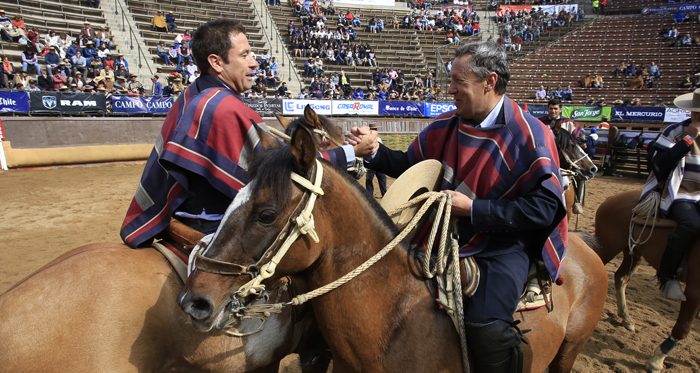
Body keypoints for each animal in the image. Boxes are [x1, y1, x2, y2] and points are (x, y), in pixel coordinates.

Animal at [596, 190, 700, 370]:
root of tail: (612, 198)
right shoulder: (694, 288)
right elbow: (683, 328)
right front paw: (657, 360)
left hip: (633, 252)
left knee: (620, 278)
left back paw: (626, 318)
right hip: (608, 247)